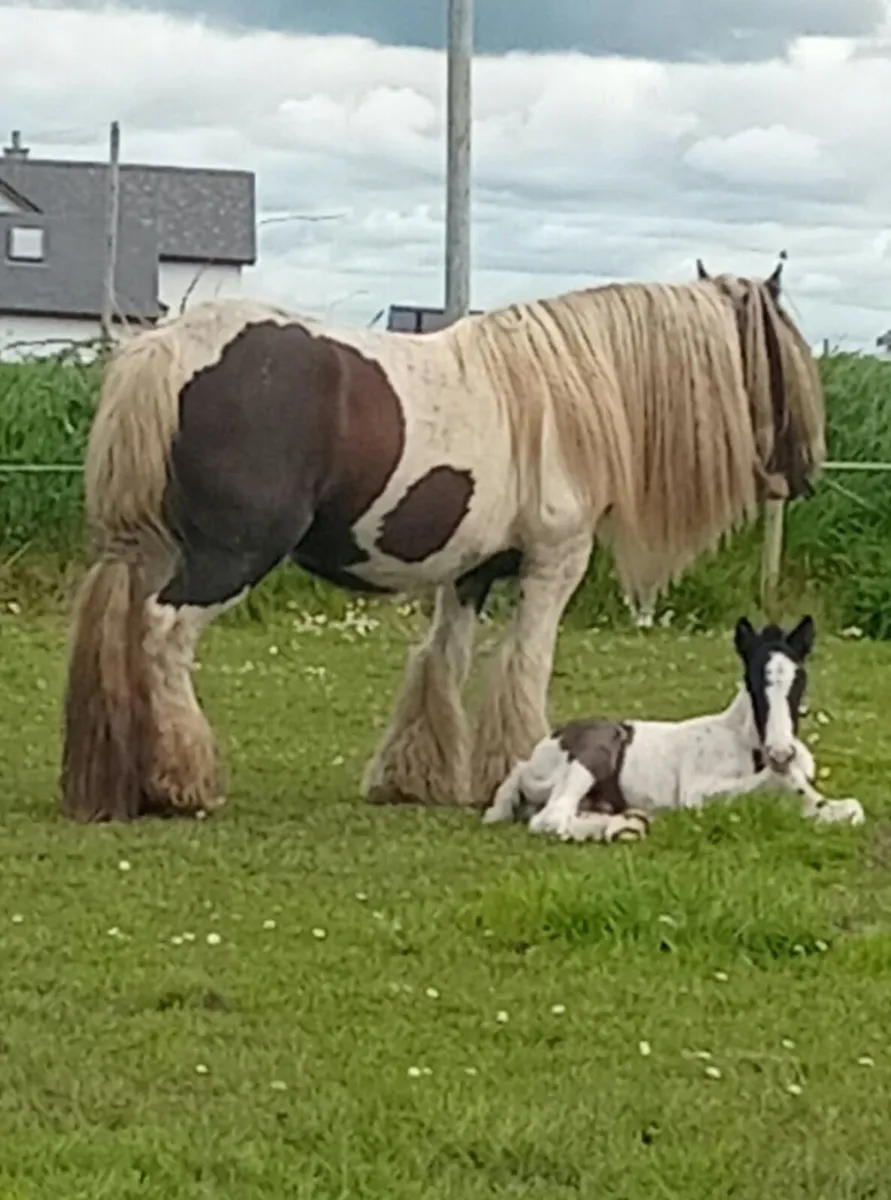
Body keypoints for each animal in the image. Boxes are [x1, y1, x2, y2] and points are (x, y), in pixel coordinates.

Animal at [59, 256, 826, 822]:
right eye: (782, 358)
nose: (805, 470)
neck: (560, 396)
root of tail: (163, 349)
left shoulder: (470, 572)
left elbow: (442, 661)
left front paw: (415, 779)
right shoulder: (554, 562)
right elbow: (523, 664)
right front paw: (507, 770)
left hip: (150, 551)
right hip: (228, 557)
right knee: (162, 634)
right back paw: (182, 782)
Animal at [482, 615, 865, 842]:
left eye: (800, 681)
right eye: (753, 682)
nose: (781, 751)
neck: (745, 745)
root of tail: (527, 762)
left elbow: (852, 808)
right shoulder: (698, 792)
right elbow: (776, 782)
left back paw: (630, 821)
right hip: (593, 754)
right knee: (551, 818)